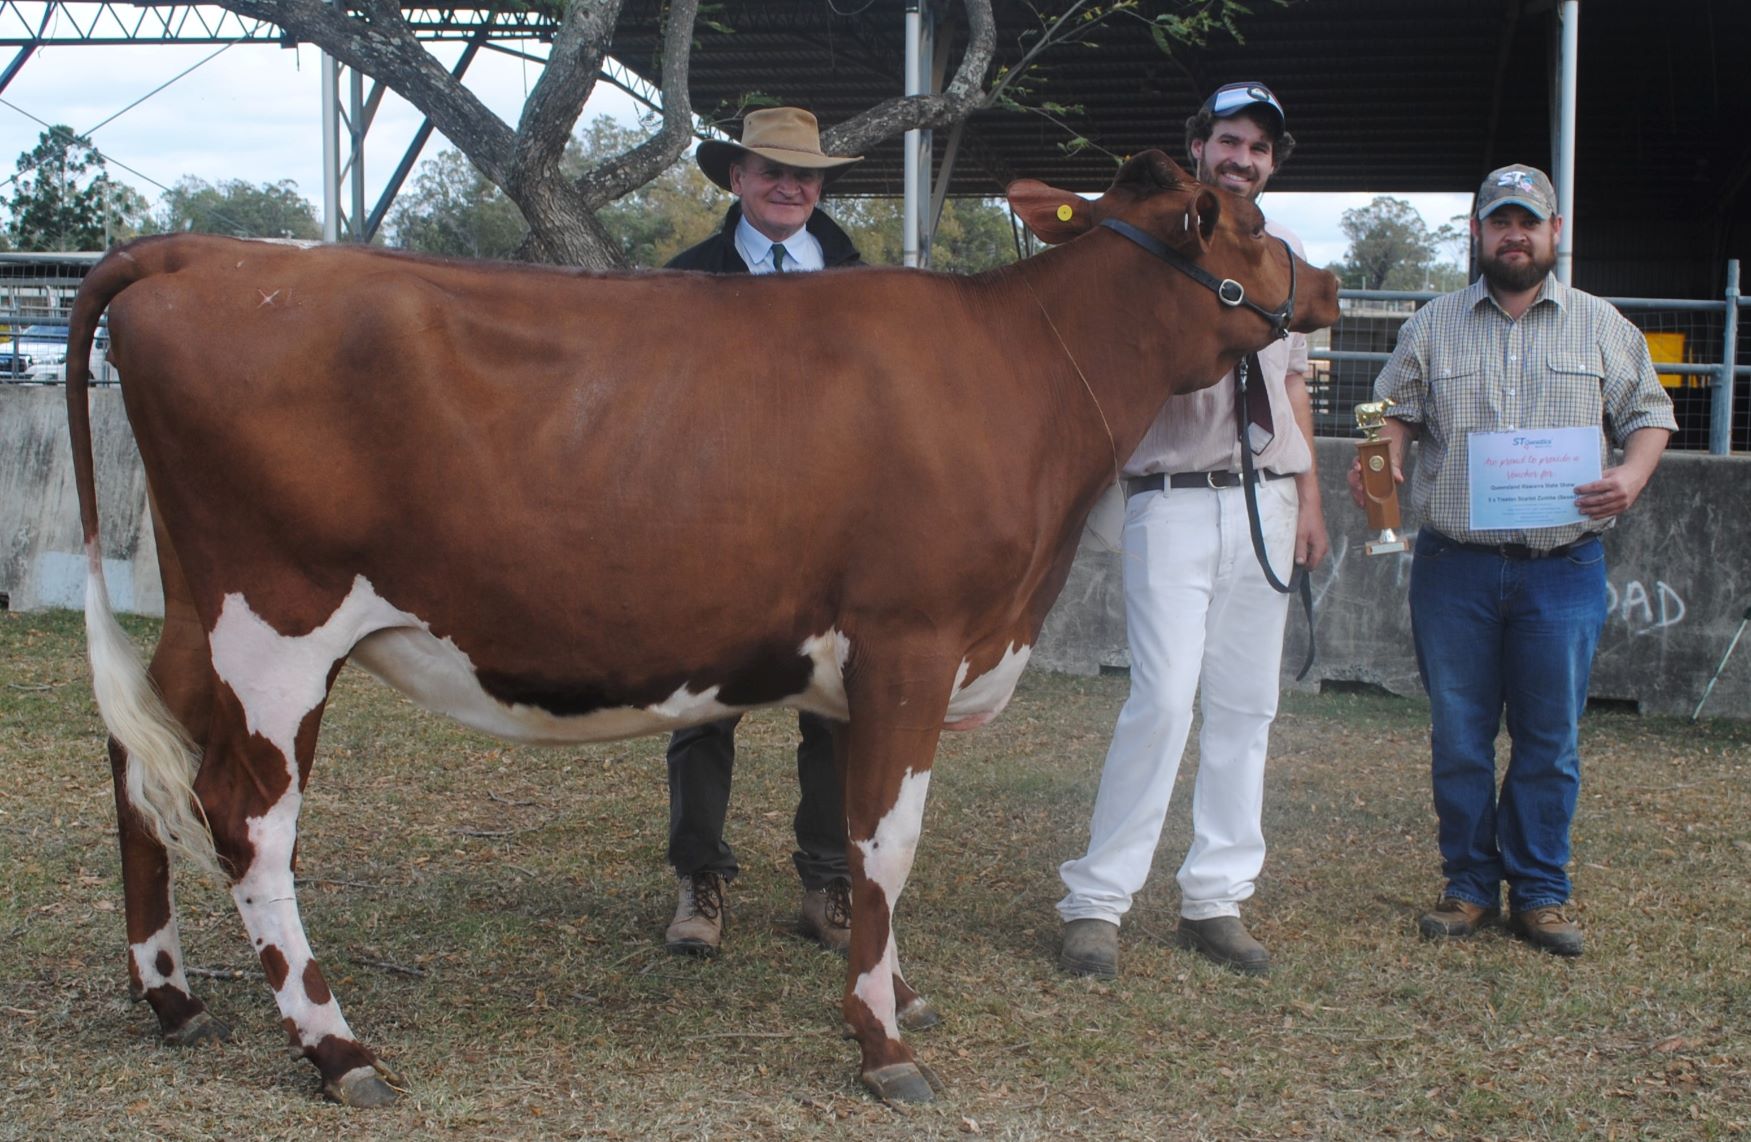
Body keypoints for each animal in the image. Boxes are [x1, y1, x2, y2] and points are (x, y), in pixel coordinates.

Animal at [61, 154, 1330, 1106]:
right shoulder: (912, 639)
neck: (1027, 373)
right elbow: (889, 840)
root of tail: (207, 250)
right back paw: (336, 1047)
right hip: (277, 627)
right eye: (1252, 220)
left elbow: (868, 842)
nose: (1320, 286)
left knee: (136, 764)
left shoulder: (883, 661)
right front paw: (883, 1043)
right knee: (244, 820)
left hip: (197, 613)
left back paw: (171, 996)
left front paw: (899, 992)